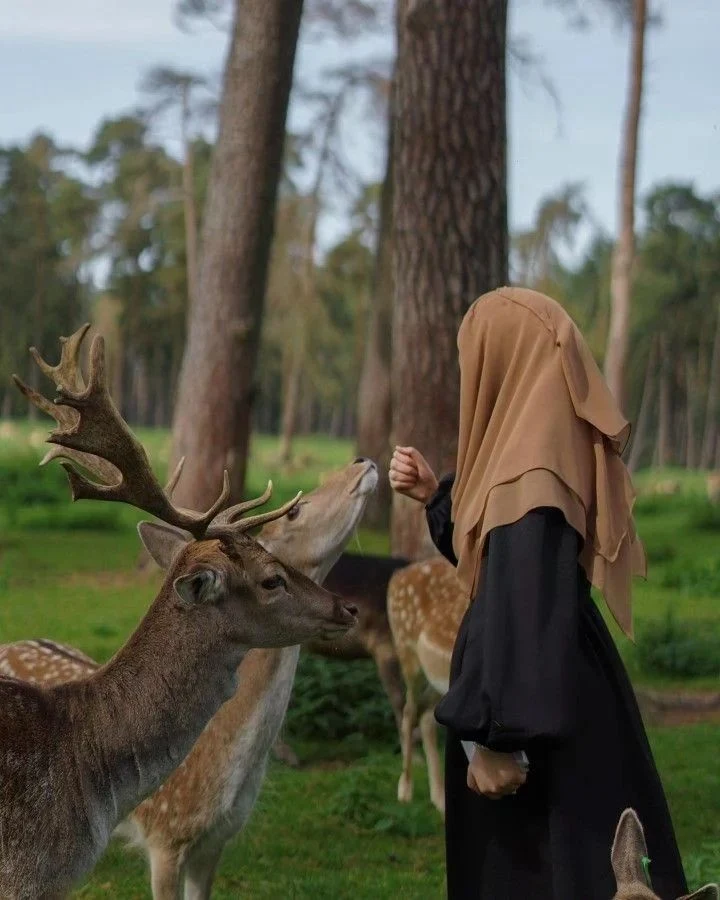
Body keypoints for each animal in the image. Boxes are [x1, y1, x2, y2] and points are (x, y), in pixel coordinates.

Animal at [386, 556, 470, 816]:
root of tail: (398, 575)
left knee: (426, 718)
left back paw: (439, 800)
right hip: (406, 650)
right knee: (409, 711)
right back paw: (405, 790)